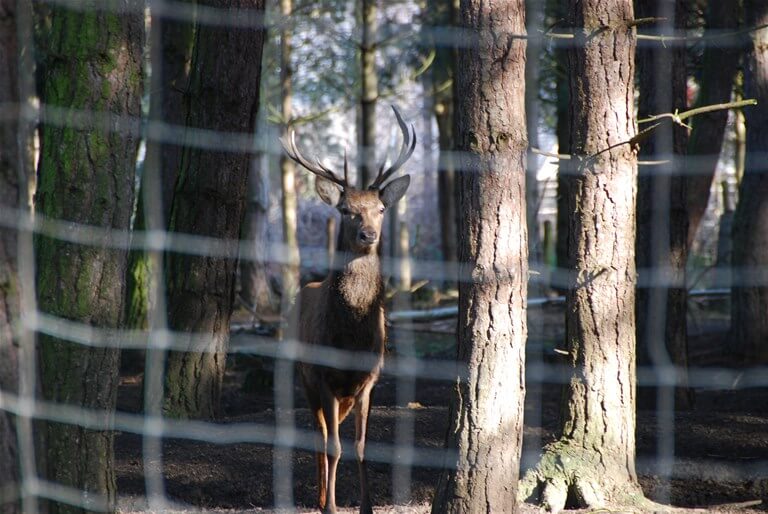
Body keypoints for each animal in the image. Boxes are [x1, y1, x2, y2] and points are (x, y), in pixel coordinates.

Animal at [280, 105, 416, 512]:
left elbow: (360, 446)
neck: (350, 338)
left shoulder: (370, 379)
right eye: (344, 209)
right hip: (303, 375)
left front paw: (367, 505)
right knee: (320, 437)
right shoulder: (323, 376)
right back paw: (323, 497)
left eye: (381, 208)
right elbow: (334, 446)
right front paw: (331, 506)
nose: (368, 235)